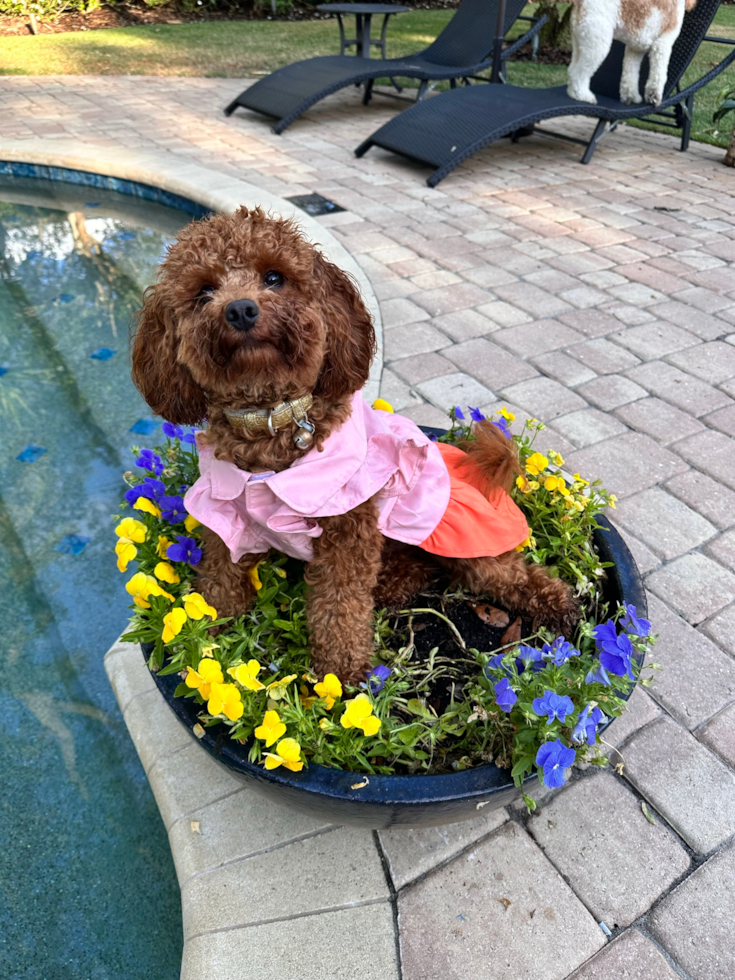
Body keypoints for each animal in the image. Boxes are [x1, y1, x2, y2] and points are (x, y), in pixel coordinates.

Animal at [134, 207, 580, 680]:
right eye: (204, 291)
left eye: (274, 277)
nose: (240, 309)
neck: (272, 418)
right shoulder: (224, 515)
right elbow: (220, 576)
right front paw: (203, 633)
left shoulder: (347, 529)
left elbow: (340, 603)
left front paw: (340, 669)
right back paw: (395, 582)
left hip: (457, 533)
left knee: (504, 574)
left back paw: (560, 604)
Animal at [568, 0, 696, 106]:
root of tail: (580, 2)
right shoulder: (662, 44)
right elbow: (658, 75)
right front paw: (654, 96)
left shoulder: (634, 49)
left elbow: (630, 75)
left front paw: (631, 96)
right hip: (597, 45)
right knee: (579, 74)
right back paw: (583, 95)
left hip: (580, 43)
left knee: (572, 70)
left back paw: (572, 93)